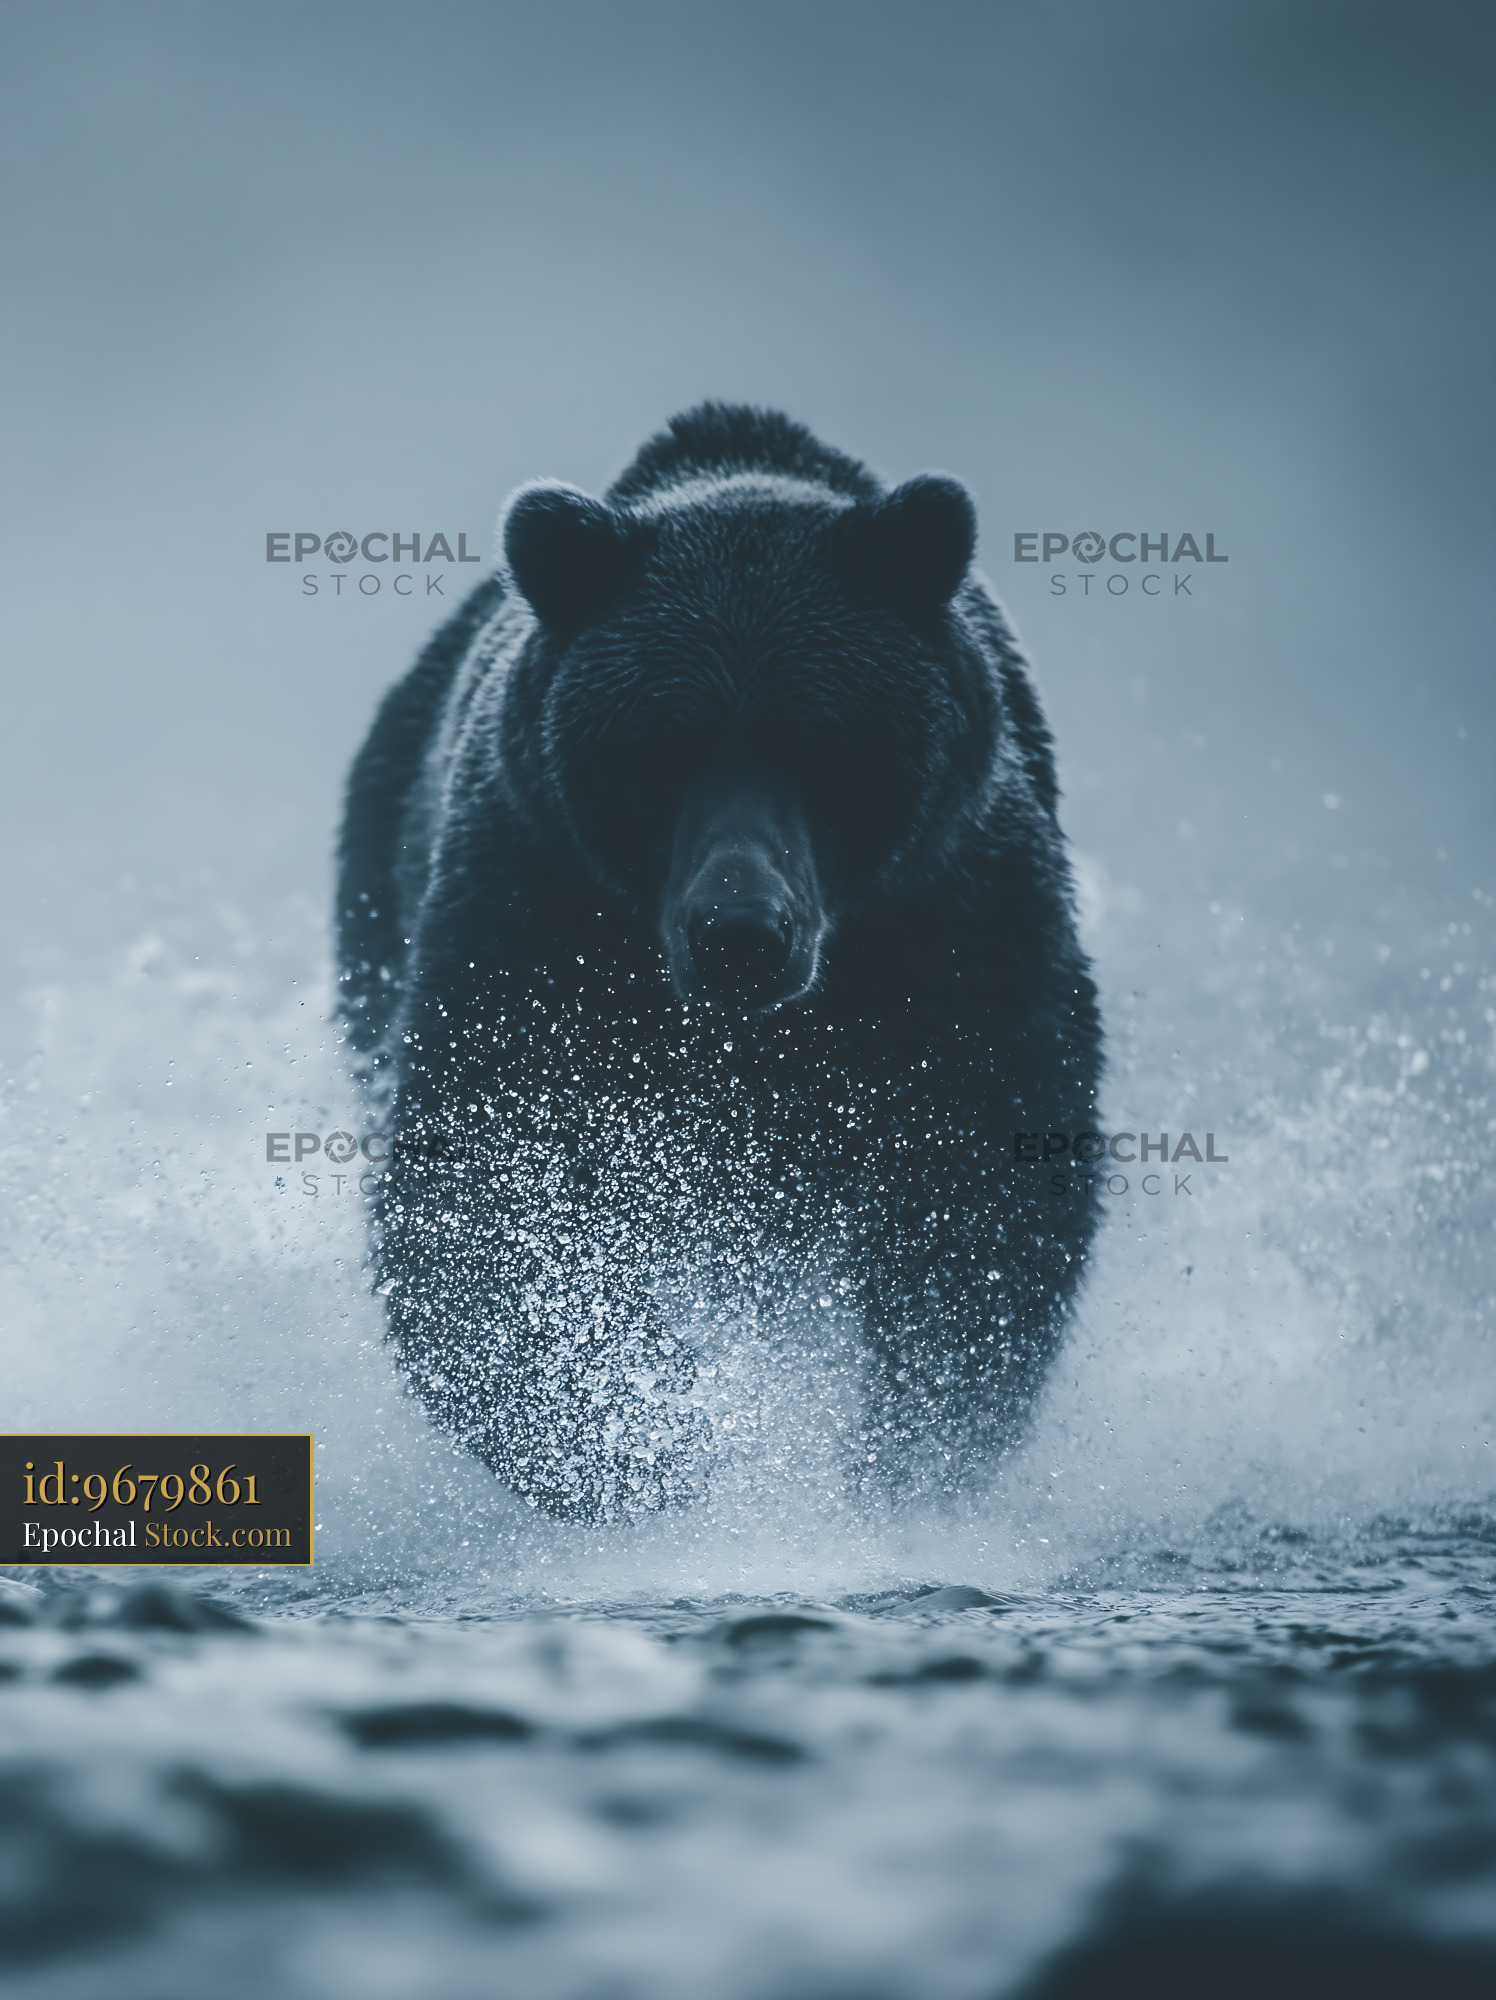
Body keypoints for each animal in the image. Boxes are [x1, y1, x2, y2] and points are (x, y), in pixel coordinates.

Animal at [337, 403, 1102, 1520]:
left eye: (826, 745)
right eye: (662, 748)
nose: (740, 932)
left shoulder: (957, 924)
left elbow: (985, 1186)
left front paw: (900, 1456)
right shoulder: (532, 916)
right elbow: (488, 1191)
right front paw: (649, 1449)